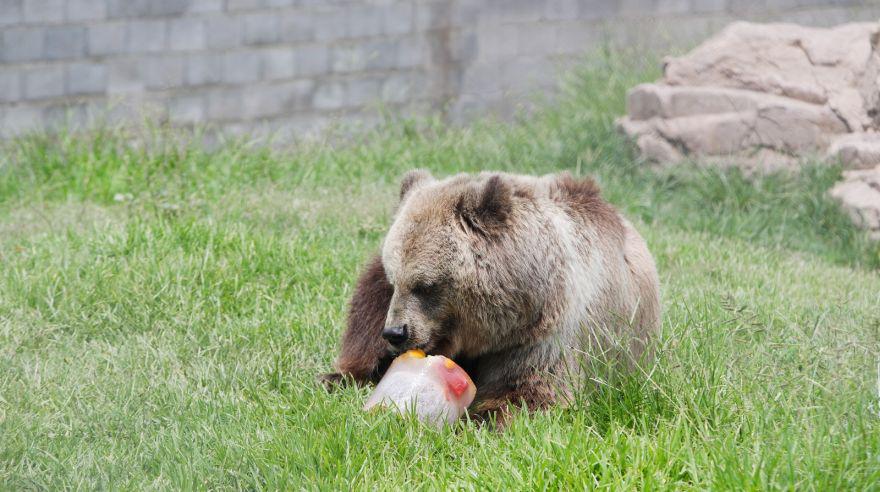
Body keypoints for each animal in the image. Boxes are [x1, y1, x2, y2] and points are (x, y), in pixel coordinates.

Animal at [324, 170, 660, 422]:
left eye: (426, 285)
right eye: (396, 281)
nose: (395, 332)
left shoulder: (544, 338)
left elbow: (529, 393)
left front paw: (477, 419)